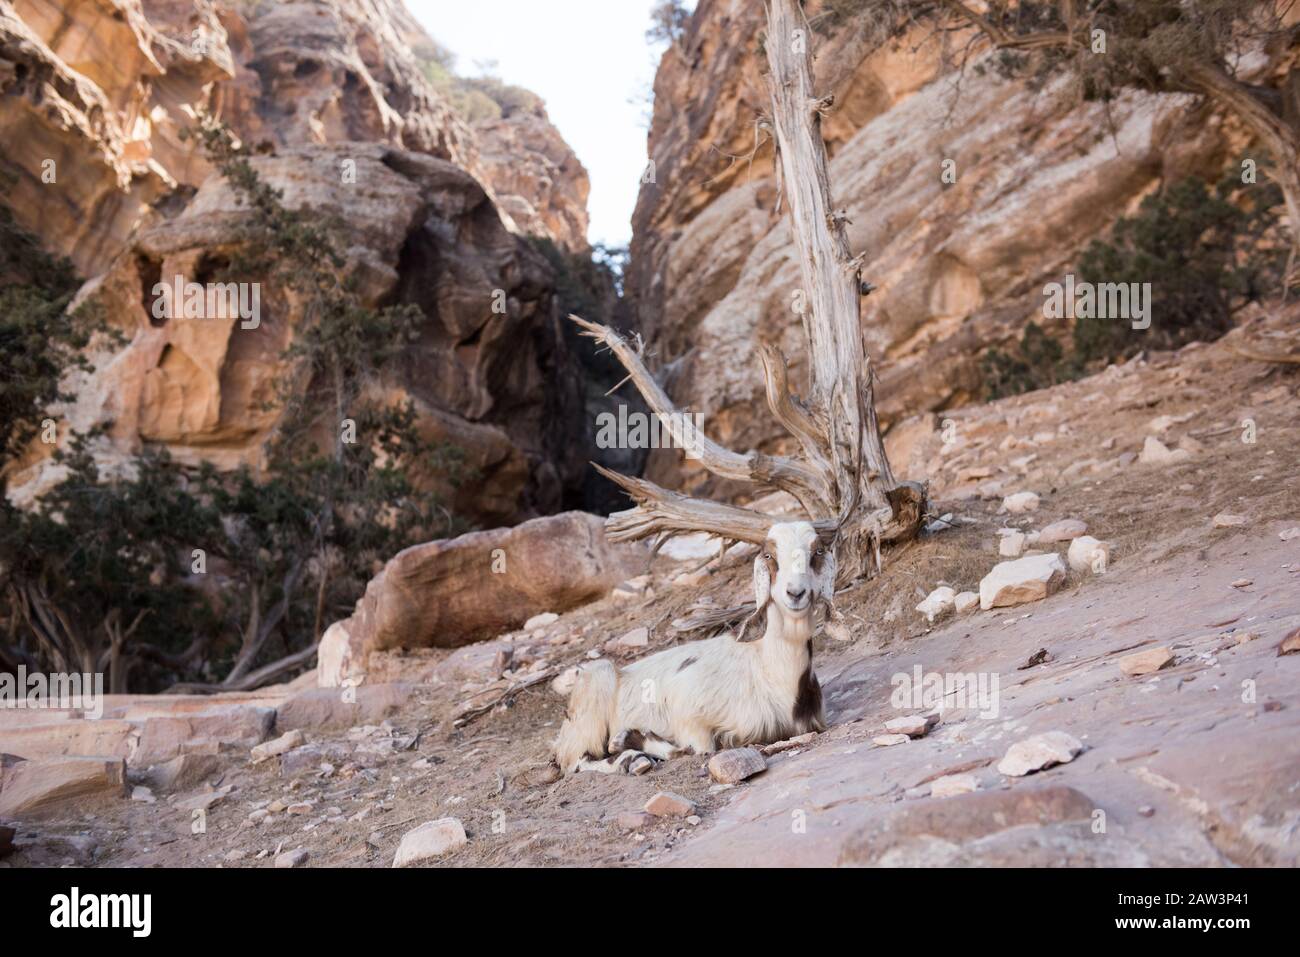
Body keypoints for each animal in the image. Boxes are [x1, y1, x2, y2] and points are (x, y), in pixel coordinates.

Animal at [554, 520, 834, 774]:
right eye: (769, 555)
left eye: (817, 552)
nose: (795, 593)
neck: (769, 671)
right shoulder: (688, 712)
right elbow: (696, 749)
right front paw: (629, 740)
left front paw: (631, 739)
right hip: (594, 689)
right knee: (578, 761)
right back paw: (629, 760)